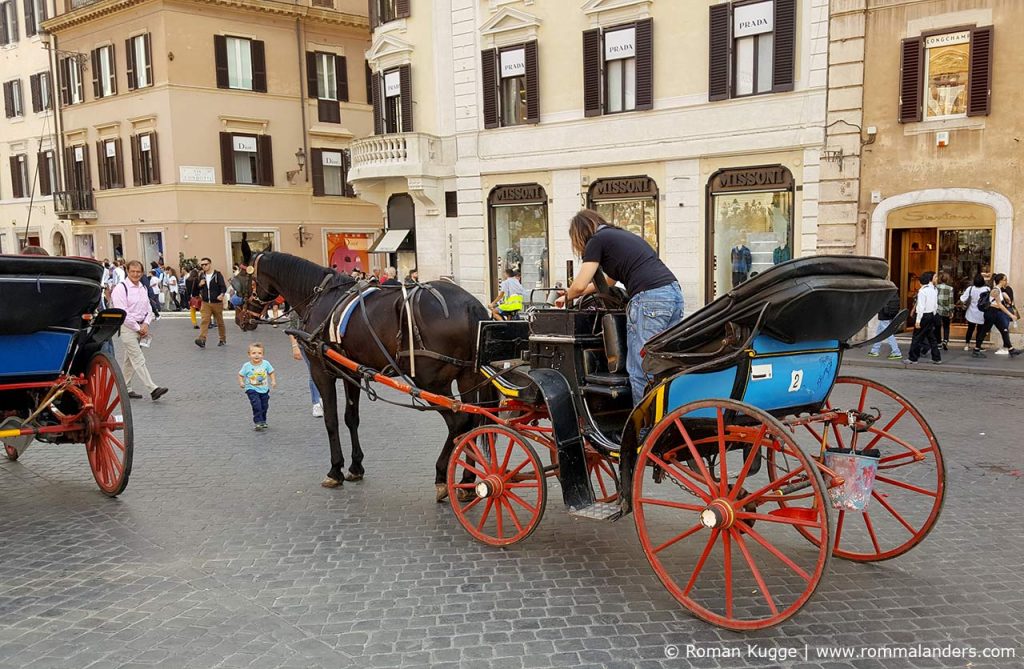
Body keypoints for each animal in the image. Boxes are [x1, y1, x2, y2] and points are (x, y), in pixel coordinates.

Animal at [235, 253, 491, 497]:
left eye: (244, 280)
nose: (240, 319)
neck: (320, 297)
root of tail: (469, 304)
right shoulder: (352, 373)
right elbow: (351, 418)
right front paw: (356, 466)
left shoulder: (321, 372)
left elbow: (331, 421)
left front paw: (335, 470)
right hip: (467, 378)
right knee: (473, 422)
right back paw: (468, 481)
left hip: (431, 382)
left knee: (459, 422)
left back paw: (442, 475)